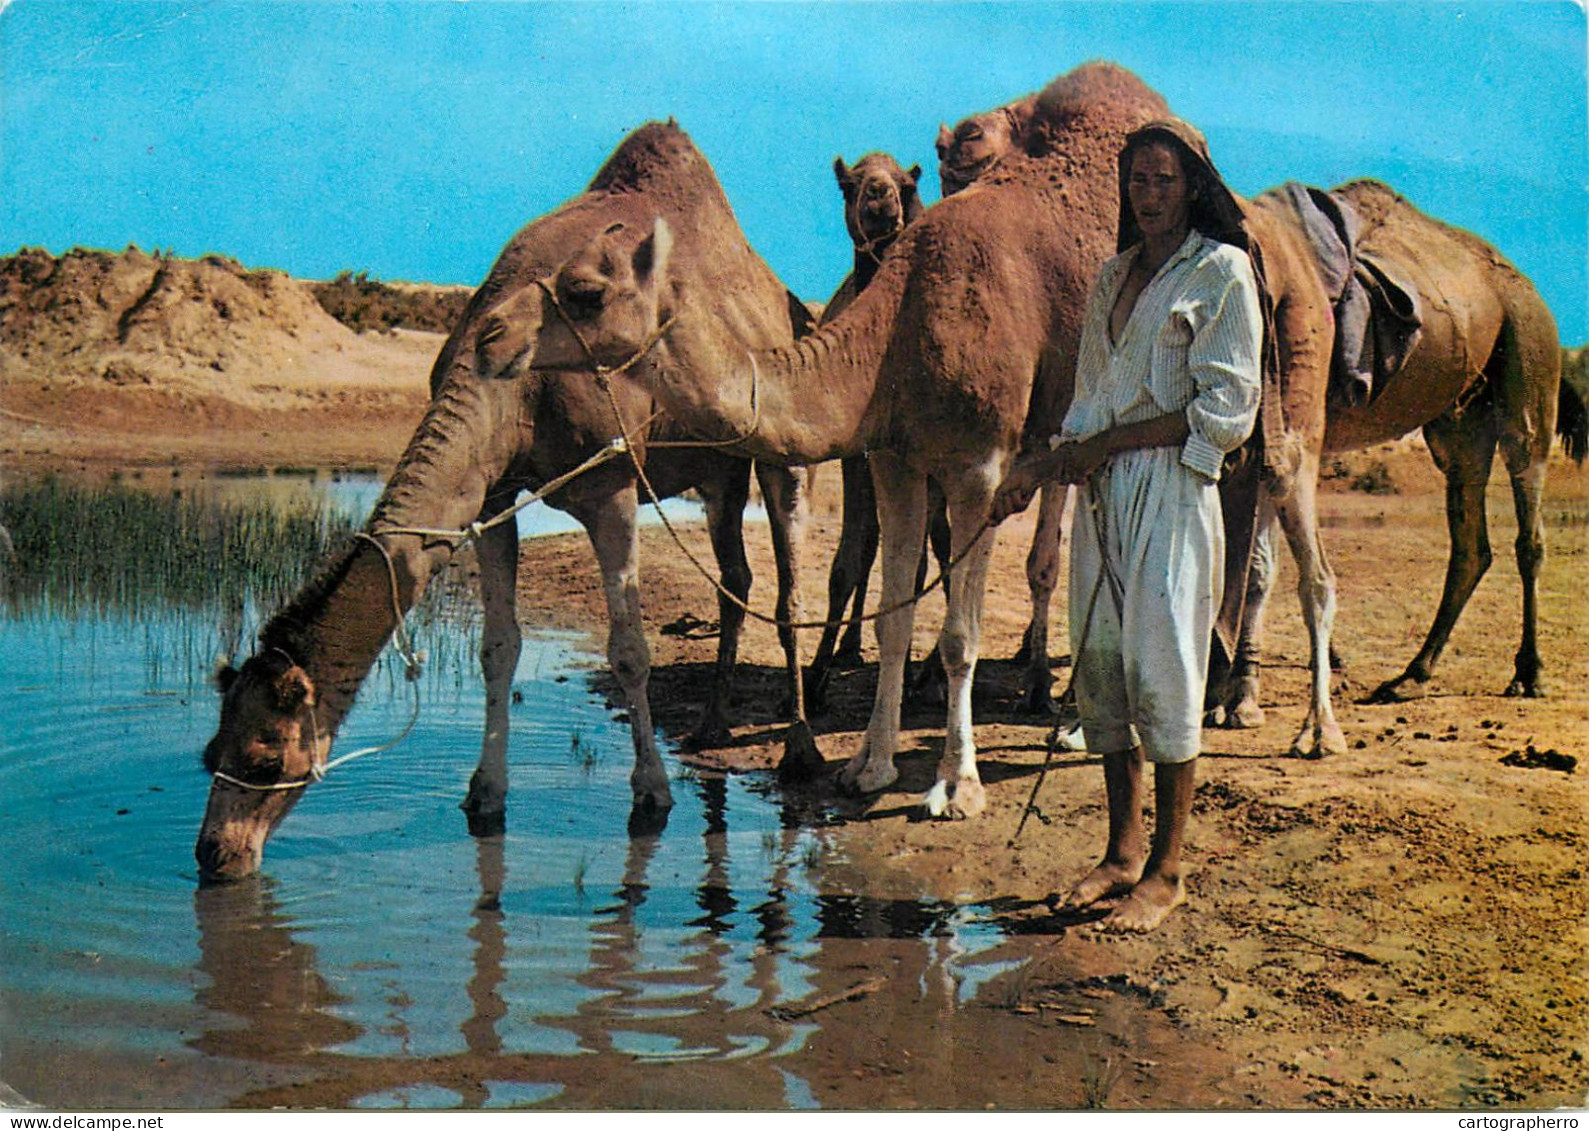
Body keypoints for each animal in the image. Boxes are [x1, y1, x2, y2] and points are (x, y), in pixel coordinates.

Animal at [195, 121, 820, 881]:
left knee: (787, 591)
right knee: (735, 575)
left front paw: (651, 795)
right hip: (718, 471)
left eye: (265, 758)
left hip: (776, 445)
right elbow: (498, 645)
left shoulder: (611, 485)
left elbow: (629, 650)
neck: (512, 389)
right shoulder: (491, 491)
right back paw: (708, 725)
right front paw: (484, 795)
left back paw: (800, 752)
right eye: (210, 754)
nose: (215, 854)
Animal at [521, 64, 1170, 816]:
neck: (902, 322)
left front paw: (957, 784)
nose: (494, 333)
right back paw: (1080, 722)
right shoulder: (894, 456)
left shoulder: (980, 463)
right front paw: (869, 764)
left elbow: (960, 633)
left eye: (584, 291)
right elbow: (896, 611)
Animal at [1208, 179, 1578, 750]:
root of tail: (1524, 284)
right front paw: (1236, 699)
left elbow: (1256, 565)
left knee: (1528, 521)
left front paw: (1240, 700)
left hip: (1530, 355)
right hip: (1458, 422)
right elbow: (1254, 565)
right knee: (1471, 542)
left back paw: (1529, 673)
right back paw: (1411, 676)